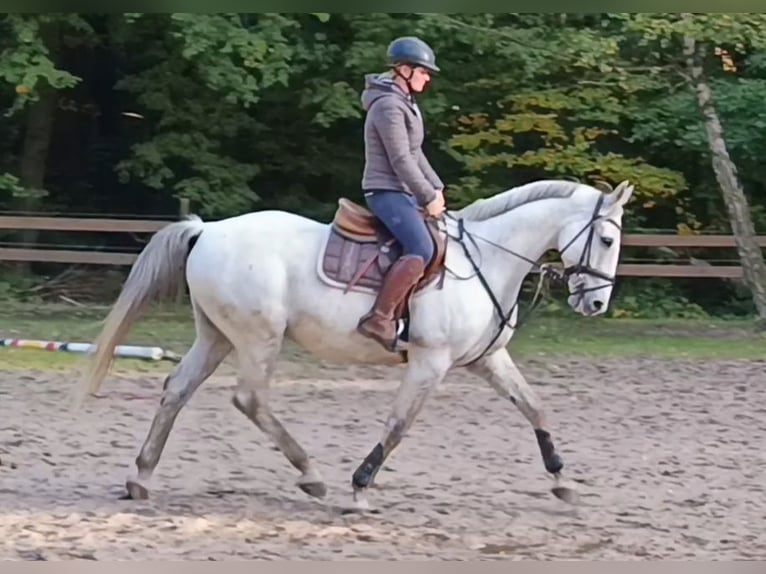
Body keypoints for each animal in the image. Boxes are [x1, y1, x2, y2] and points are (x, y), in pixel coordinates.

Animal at [73, 180, 636, 512]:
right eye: (607, 240)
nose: (596, 303)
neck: (487, 259)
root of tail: (207, 229)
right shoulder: (431, 363)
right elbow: (399, 424)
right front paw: (360, 486)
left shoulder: (487, 360)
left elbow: (535, 408)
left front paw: (562, 481)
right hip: (258, 338)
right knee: (250, 399)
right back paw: (311, 474)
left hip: (216, 337)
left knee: (177, 389)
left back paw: (142, 477)